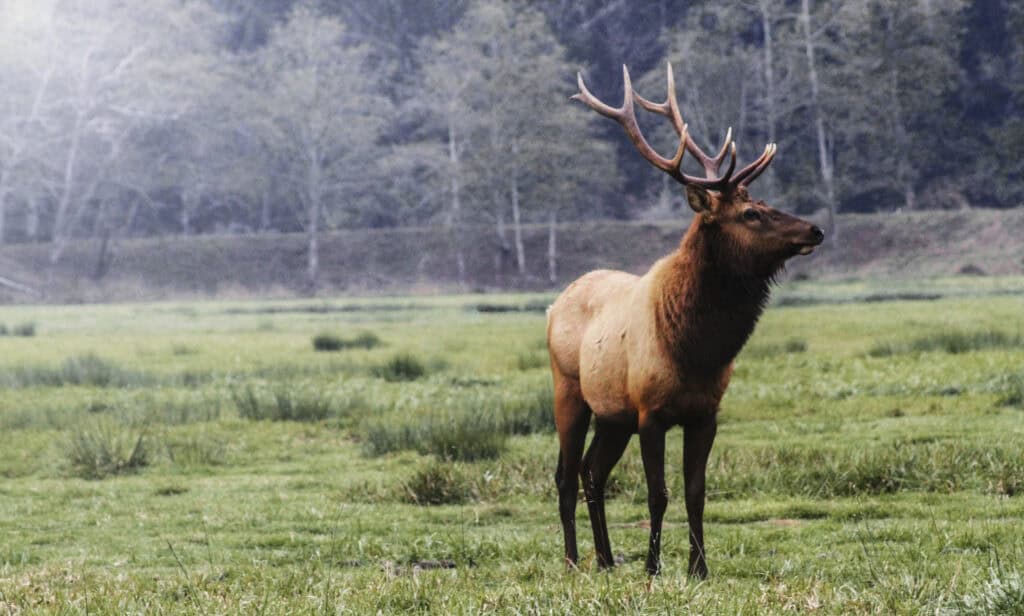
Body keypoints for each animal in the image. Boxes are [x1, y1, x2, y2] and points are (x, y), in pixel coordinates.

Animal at [547, 64, 824, 578]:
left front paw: (699, 567)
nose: (815, 229)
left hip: (613, 414)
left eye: (764, 201)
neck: (695, 349)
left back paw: (607, 559)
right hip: (569, 390)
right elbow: (658, 494)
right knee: (565, 475)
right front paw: (653, 566)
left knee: (593, 471)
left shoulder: (704, 413)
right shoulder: (650, 412)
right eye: (750, 213)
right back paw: (574, 560)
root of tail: (555, 304)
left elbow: (696, 492)